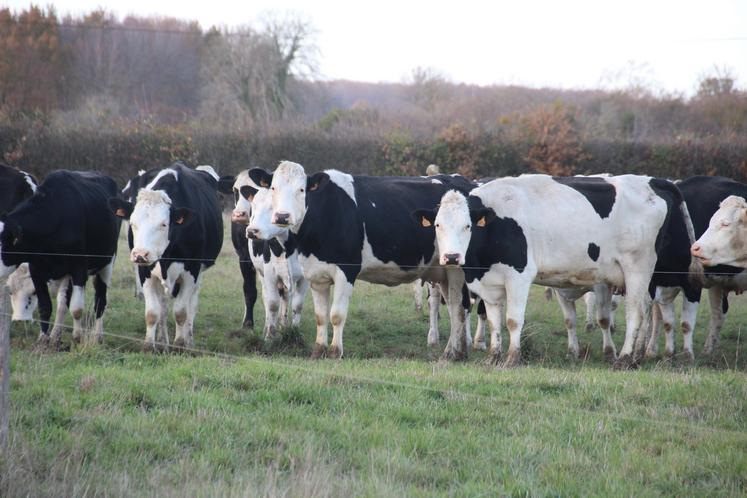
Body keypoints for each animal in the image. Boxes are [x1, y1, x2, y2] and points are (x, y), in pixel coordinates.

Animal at [0, 169, 121, 348]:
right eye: (10, 292)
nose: (20, 321)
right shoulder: (37, 270)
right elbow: (46, 307)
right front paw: (43, 340)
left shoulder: (79, 268)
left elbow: (76, 309)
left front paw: (77, 337)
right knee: (63, 303)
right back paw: (56, 336)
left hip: (107, 263)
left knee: (100, 300)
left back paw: (98, 336)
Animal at [109, 162, 222, 350]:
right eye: (132, 223)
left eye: (163, 224)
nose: (140, 254)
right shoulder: (145, 271)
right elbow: (153, 312)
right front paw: (149, 346)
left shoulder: (191, 271)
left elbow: (181, 312)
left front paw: (180, 344)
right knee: (163, 306)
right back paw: (163, 341)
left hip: (199, 272)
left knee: (191, 305)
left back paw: (189, 341)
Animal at [248, 161, 476, 360]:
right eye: (274, 188)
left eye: (301, 190)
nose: (282, 216)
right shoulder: (315, 275)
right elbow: (321, 316)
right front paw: (318, 350)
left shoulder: (346, 270)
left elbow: (336, 315)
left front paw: (335, 352)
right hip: (443, 271)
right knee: (455, 308)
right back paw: (454, 351)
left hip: (457, 269)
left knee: (459, 307)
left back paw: (455, 353)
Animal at [418, 173, 700, 368]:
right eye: (438, 225)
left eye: (467, 226)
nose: (451, 257)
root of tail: (651, 180)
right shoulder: (489, 282)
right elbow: (495, 320)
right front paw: (494, 356)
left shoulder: (519, 276)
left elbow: (512, 320)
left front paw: (512, 358)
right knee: (645, 307)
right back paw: (637, 356)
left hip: (638, 268)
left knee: (636, 311)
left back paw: (625, 357)